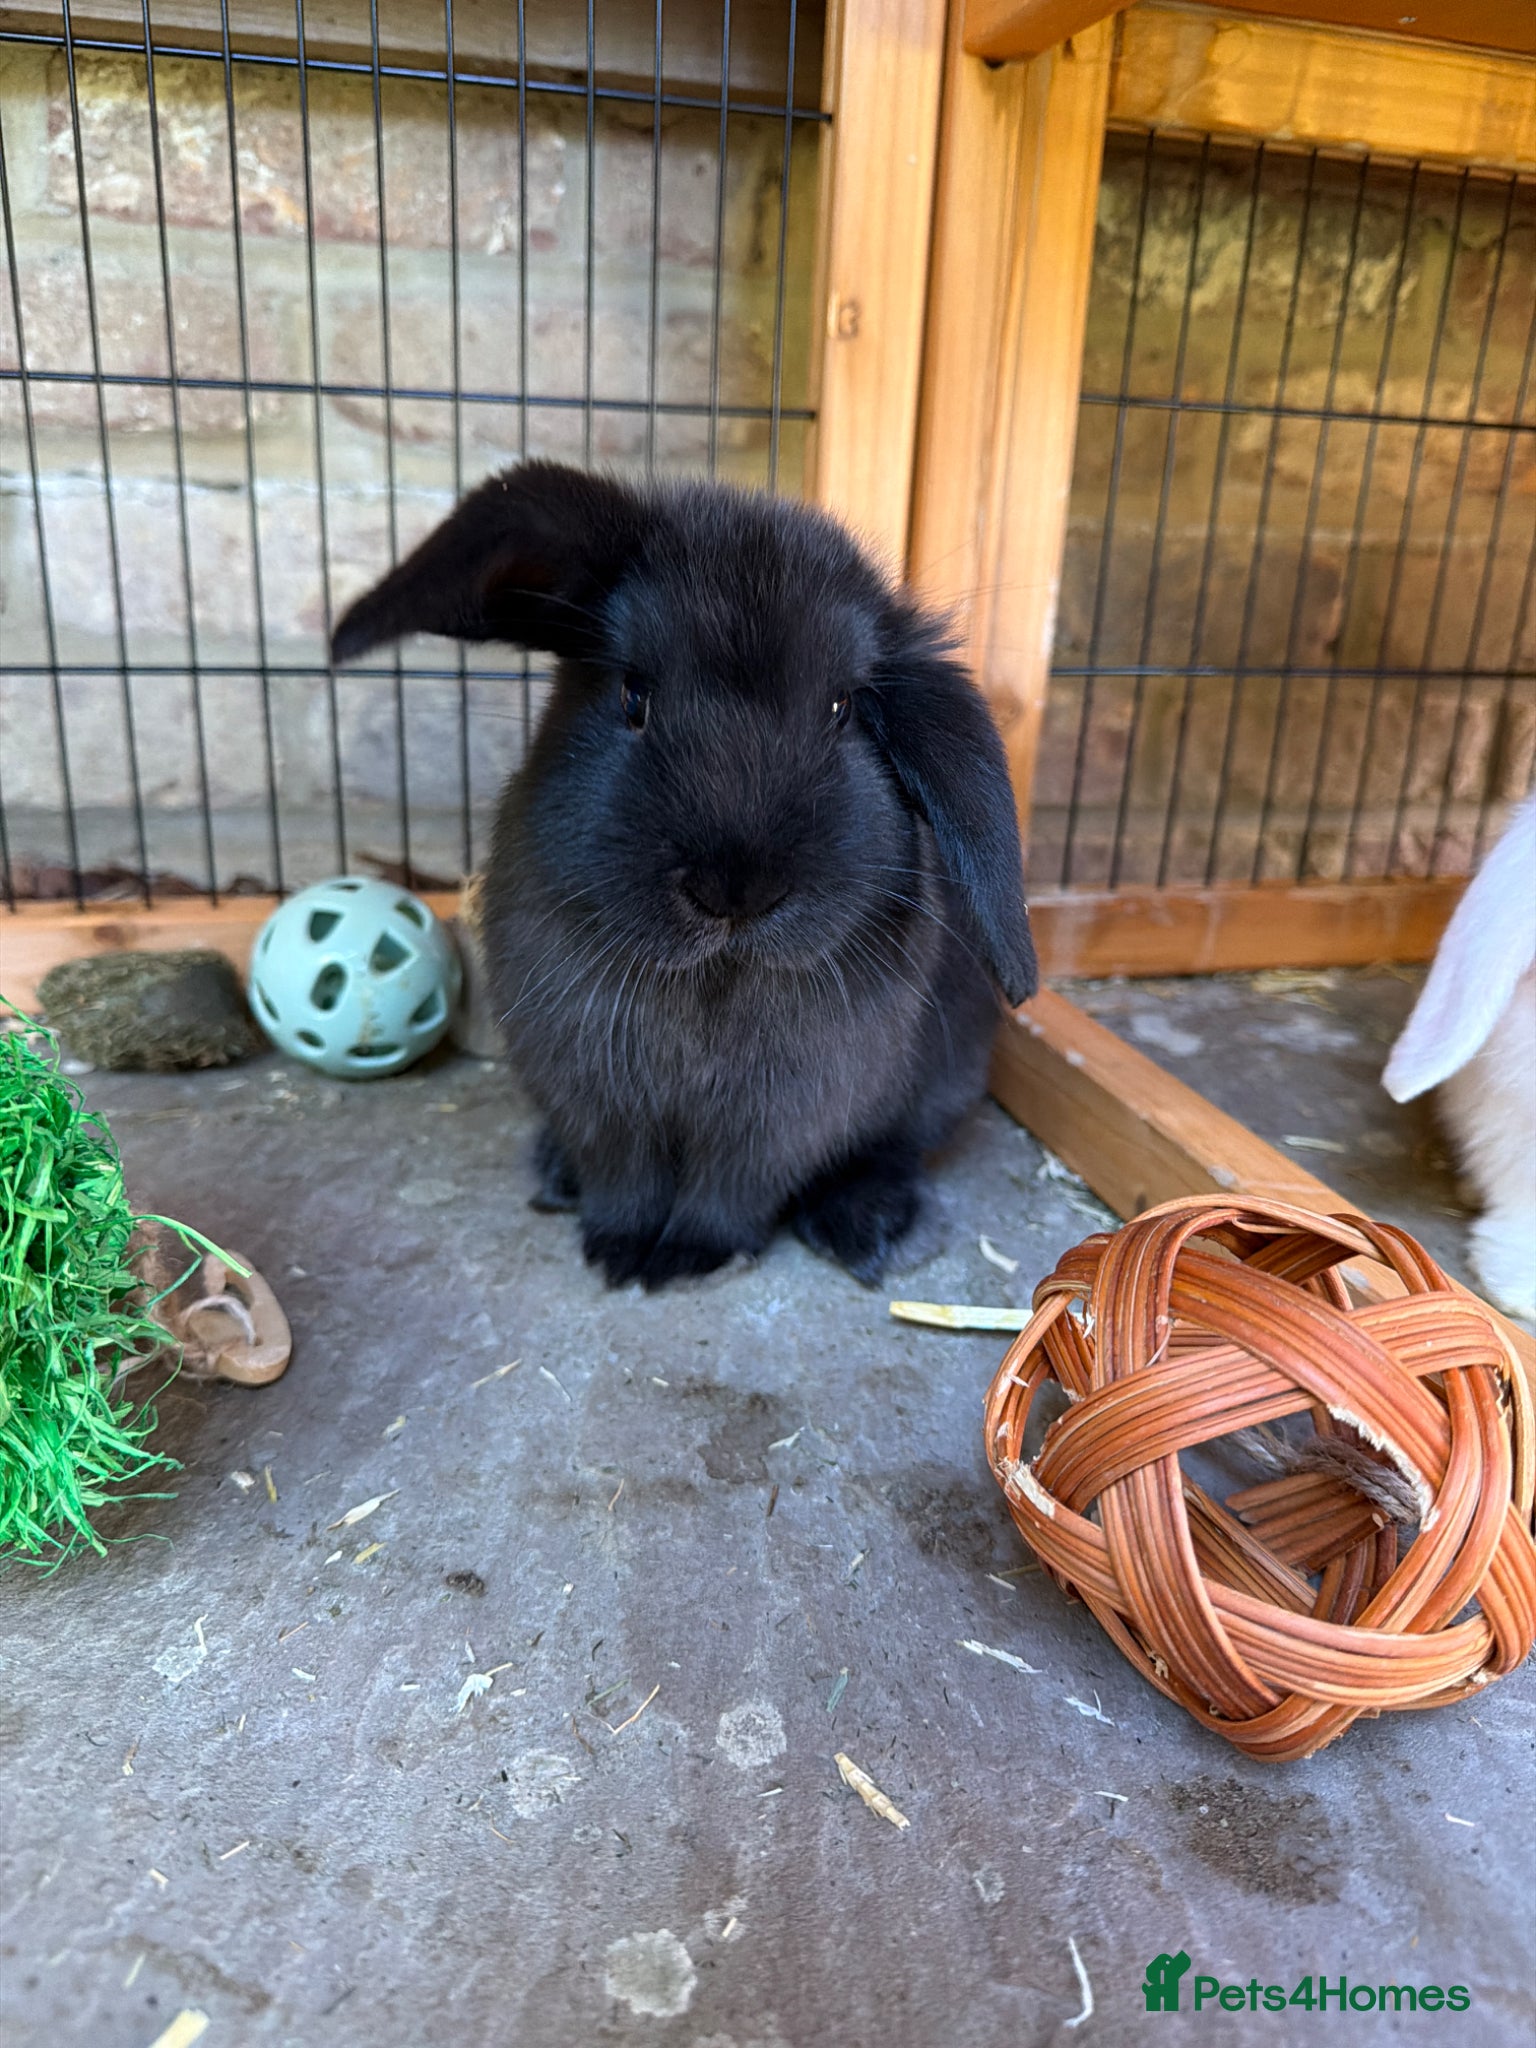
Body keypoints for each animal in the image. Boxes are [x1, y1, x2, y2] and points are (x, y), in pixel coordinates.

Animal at [332, 461, 1037, 1290]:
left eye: (842, 709)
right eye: (633, 695)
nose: (737, 888)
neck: (712, 981)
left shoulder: (783, 1116)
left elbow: (730, 1189)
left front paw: (689, 1256)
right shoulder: (594, 1098)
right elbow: (624, 1179)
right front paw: (616, 1250)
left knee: (896, 1149)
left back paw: (867, 1227)